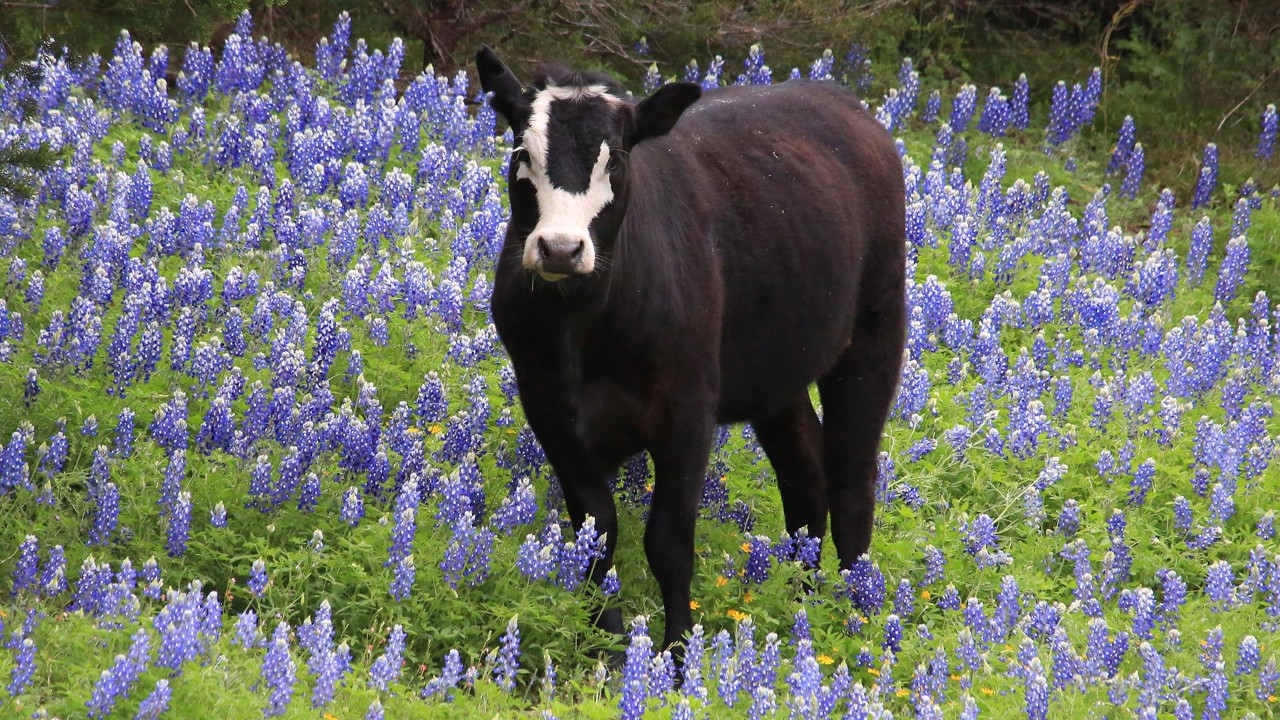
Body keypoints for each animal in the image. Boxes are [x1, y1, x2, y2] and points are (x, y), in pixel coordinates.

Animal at [476, 45, 907, 652]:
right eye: (522, 153)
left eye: (616, 162)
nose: (560, 248)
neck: (583, 325)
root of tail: (842, 99)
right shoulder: (548, 407)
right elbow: (595, 535)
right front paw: (606, 645)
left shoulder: (686, 412)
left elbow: (669, 544)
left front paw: (677, 653)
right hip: (776, 370)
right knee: (805, 478)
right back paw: (802, 603)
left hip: (874, 331)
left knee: (851, 478)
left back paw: (854, 619)